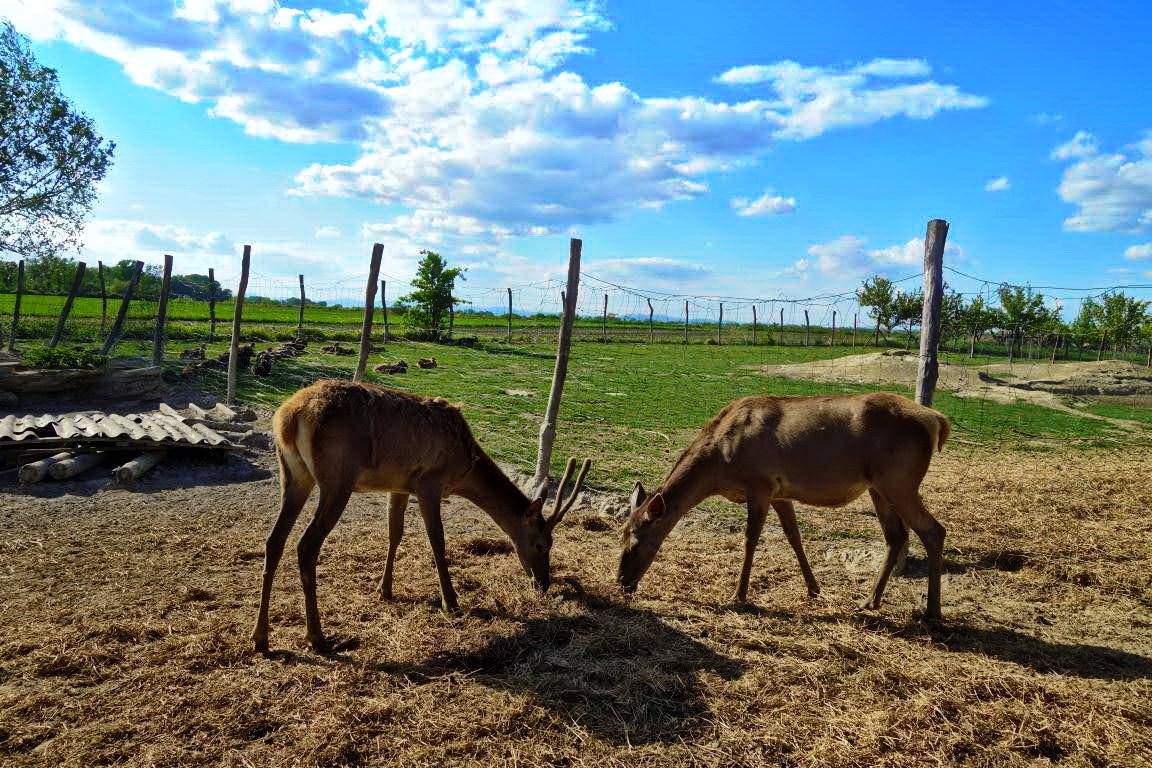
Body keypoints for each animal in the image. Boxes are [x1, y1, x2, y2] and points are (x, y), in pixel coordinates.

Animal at [254, 377, 594, 654]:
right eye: (541, 544)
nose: (544, 583)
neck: (464, 468)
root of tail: (288, 417)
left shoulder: (399, 485)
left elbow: (395, 533)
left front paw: (385, 590)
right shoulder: (429, 482)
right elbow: (437, 540)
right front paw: (451, 602)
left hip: (293, 474)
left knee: (274, 540)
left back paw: (260, 638)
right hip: (337, 478)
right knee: (306, 545)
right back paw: (317, 637)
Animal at [617, 393, 949, 621]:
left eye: (636, 542)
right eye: (620, 536)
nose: (622, 582)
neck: (719, 468)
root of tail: (936, 420)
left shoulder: (760, 484)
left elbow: (750, 540)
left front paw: (739, 594)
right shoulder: (780, 493)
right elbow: (794, 537)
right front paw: (813, 588)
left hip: (899, 480)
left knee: (934, 530)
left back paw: (932, 611)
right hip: (878, 486)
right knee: (896, 536)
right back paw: (870, 601)